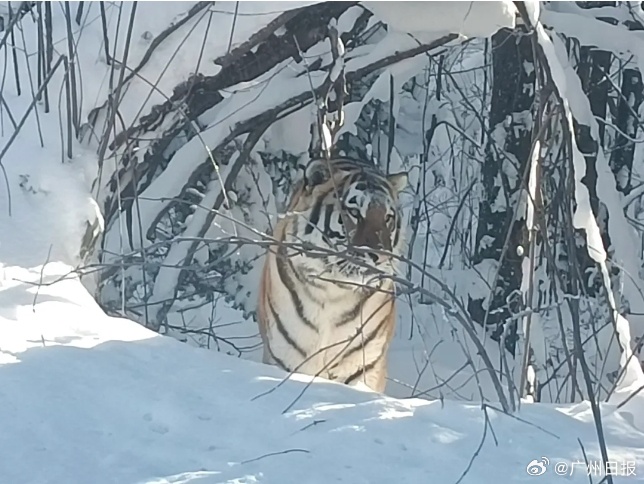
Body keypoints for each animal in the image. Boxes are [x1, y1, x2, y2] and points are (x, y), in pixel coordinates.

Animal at [256, 156, 408, 394]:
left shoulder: (364, 365)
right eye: (354, 212)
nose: (382, 257)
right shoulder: (284, 357)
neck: (335, 291)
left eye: (388, 218)